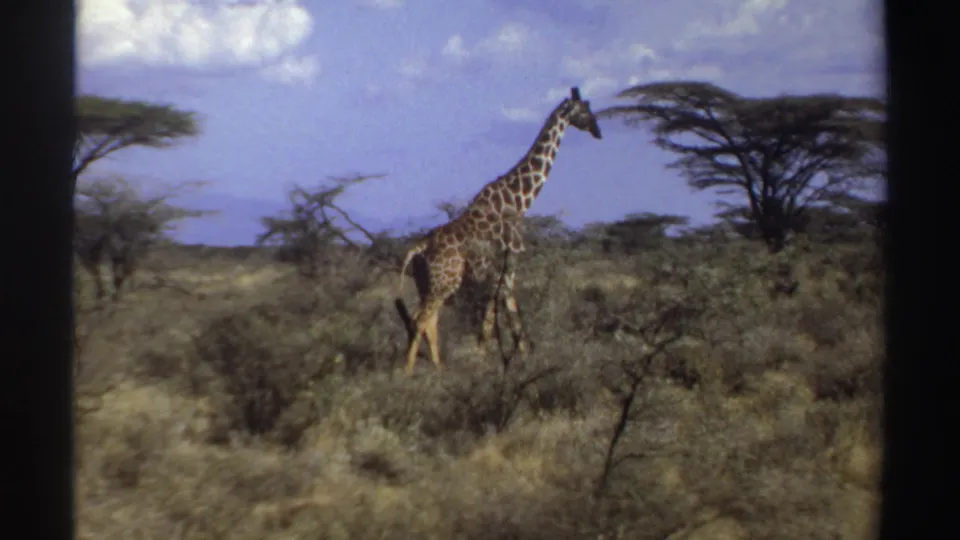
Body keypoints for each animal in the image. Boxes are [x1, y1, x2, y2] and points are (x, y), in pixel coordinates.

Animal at [394, 86, 603, 375]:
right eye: (585, 109)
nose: (598, 131)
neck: (519, 201)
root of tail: (420, 247)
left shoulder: (495, 272)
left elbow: (492, 316)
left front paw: (490, 359)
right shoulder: (509, 264)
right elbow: (509, 318)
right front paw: (514, 361)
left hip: (427, 283)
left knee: (427, 321)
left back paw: (438, 369)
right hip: (445, 281)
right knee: (420, 320)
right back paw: (408, 372)